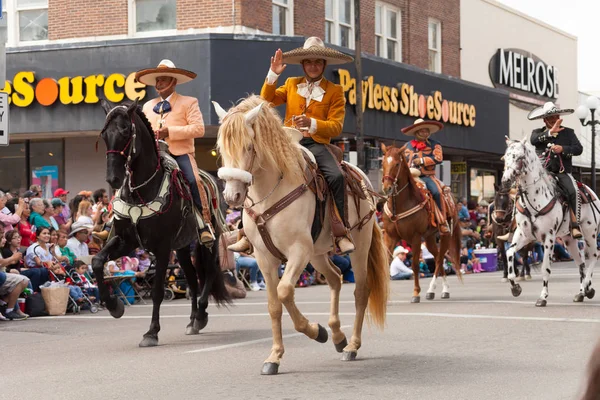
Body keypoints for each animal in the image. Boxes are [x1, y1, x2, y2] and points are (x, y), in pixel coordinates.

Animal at [94, 100, 230, 346]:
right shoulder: (126, 241)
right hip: (183, 247)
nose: (113, 179)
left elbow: (157, 290)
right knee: (193, 279)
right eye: (104, 134)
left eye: (125, 130)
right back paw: (192, 320)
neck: (140, 190)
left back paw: (201, 315)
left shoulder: (163, 247)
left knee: (210, 271)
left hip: (208, 240)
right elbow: (97, 261)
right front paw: (114, 306)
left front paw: (151, 332)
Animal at [211, 96, 390, 376]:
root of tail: (364, 179)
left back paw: (351, 346)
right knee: (335, 278)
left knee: (361, 290)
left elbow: (285, 292)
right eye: (220, 147)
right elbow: (274, 305)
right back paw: (338, 336)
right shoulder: (265, 258)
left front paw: (316, 331)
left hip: (358, 246)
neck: (271, 192)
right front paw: (274, 357)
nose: (232, 196)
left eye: (249, 146)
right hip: (317, 253)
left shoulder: (298, 251)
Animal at [382, 145, 462, 304]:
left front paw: (416, 293)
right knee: (437, 257)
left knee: (439, 259)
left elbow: (414, 265)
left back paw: (432, 290)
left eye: (397, 164)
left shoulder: (415, 237)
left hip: (445, 235)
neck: (400, 205)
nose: (387, 188)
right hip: (430, 238)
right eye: (383, 163)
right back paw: (443, 290)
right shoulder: (390, 236)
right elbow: (387, 262)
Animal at [502, 137, 600, 306]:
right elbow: (509, 253)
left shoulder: (548, 236)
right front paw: (515, 287)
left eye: (519, 157)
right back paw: (581, 292)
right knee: (580, 262)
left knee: (594, 256)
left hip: (589, 233)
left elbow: (545, 267)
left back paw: (588, 287)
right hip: (569, 239)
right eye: (505, 157)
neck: (534, 199)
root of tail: (592, 192)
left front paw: (542, 297)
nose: (506, 181)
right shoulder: (523, 235)